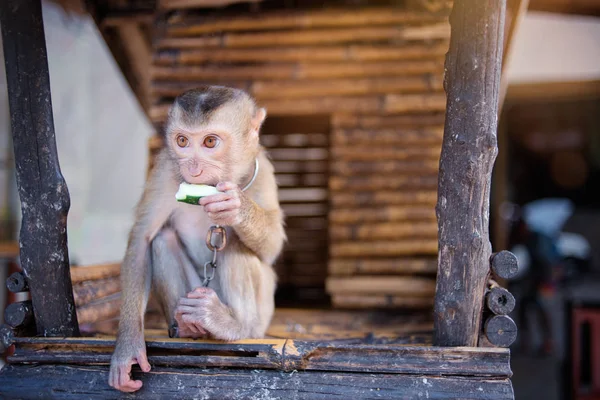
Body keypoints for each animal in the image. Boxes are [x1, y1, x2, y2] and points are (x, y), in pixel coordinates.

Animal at [108, 85, 286, 394]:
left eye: (210, 142)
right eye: (182, 141)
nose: (192, 168)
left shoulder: (262, 168)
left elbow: (272, 245)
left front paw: (237, 208)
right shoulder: (164, 169)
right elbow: (142, 238)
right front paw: (127, 349)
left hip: (262, 317)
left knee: (235, 245)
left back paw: (233, 325)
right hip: (193, 293)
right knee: (162, 240)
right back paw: (189, 327)